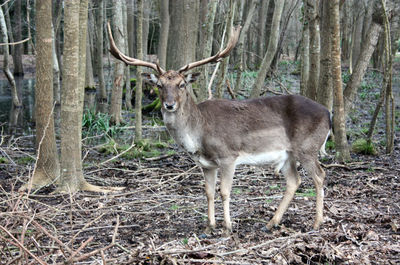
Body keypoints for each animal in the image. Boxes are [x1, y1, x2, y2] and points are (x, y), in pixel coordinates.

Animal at [108, 22, 330, 233]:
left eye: (182, 84)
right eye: (160, 85)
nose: (169, 105)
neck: (198, 136)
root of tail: (328, 113)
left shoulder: (228, 156)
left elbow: (224, 192)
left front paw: (227, 227)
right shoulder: (207, 164)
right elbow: (208, 192)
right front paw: (210, 226)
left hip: (307, 147)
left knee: (320, 176)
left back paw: (317, 222)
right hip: (288, 155)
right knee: (294, 181)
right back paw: (270, 223)